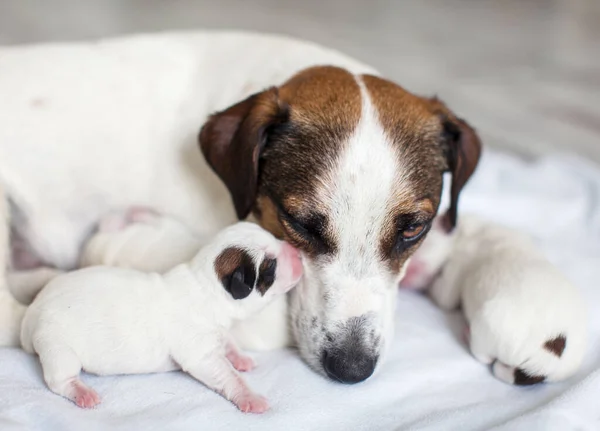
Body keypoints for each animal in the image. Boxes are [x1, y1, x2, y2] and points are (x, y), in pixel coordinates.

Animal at [19, 224, 302, 414]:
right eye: (271, 267)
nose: (299, 254)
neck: (203, 284)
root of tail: (32, 310)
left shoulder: (217, 332)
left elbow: (228, 341)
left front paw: (239, 357)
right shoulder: (201, 354)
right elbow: (227, 376)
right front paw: (249, 397)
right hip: (58, 347)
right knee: (58, 379)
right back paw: (81, 391)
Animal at [404, 214, 584, 386]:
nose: (404, 279)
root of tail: (551, 356)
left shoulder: (457, 265)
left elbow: (444, 296)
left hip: (486, 324)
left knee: (484, 356)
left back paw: (467, 334)